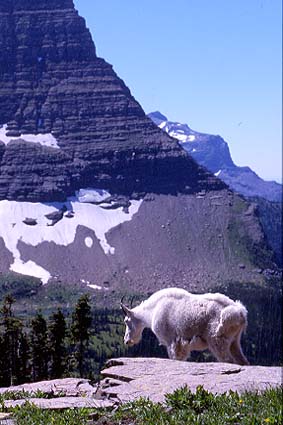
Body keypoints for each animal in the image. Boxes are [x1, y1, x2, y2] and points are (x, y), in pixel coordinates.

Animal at [121, 286, 250, 366]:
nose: (127, 341)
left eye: (126, 321)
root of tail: (240, 313)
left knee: (227, 359)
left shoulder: (171, 341)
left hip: (217, 339)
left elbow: (175, 358)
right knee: (242, 360)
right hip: (234, 340)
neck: (152, 311)